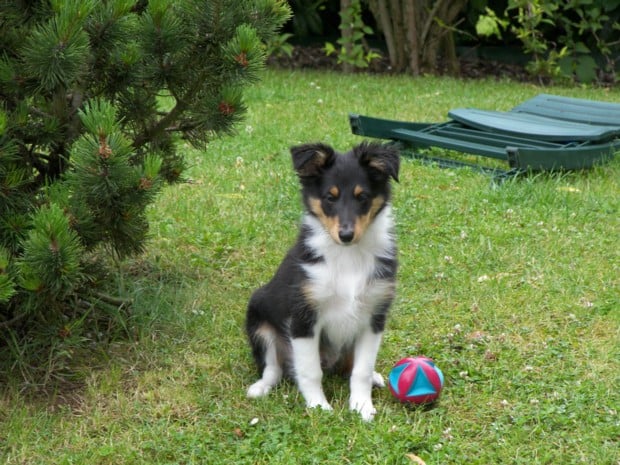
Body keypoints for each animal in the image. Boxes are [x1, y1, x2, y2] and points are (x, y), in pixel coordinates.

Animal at [245, 141, 400, 420]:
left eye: (362, 197)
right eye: (330, 197)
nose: (346, 235)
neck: (348, 255)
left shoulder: (374, 316)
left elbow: (360, 370)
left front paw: (362, 407)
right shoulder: (303, 317)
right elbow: (310, 371)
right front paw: (319, 407)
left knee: (350, 366)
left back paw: (374, 377)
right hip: (259, 318)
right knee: (274, 368)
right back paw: (260, 387)